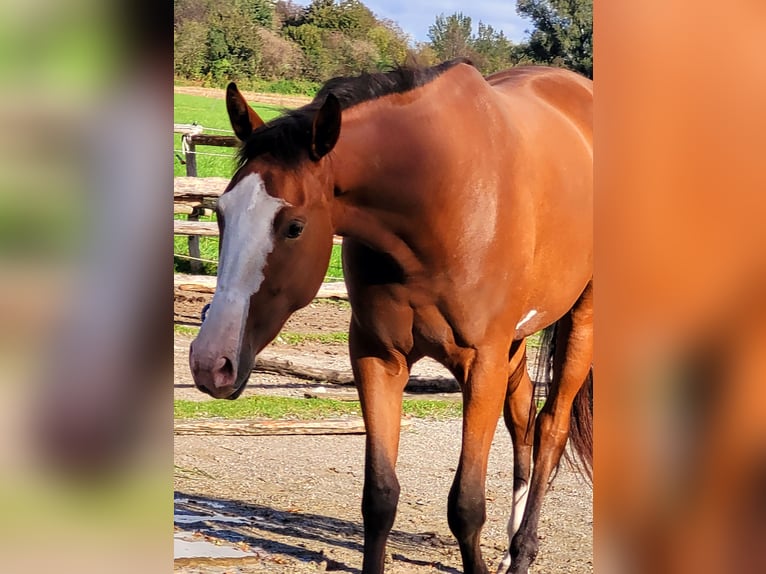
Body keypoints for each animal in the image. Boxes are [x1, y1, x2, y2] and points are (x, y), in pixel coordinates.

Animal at [189, 59, 596, 574]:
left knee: (550, 428)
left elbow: (466, 505)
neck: (437, 192)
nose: (210, 362)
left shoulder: (481, 364)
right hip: (516, 343)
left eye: (294, 227)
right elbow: (379, 497)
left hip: (581, 321)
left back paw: (522, 551)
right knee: (522, 419)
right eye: (221, 213)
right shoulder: (378, 357)